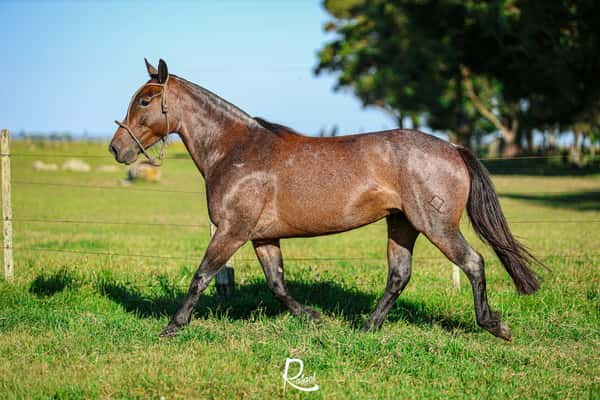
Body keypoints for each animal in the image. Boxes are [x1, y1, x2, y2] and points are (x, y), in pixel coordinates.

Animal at [109, 59, 544, 340]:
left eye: (145, 100)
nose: (117, 149)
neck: (235, 150)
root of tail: (453, 148)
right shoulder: (262, 236)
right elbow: (277, 284)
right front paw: (313, 318)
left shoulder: (231, 231)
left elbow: (200, 277)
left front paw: (171, 327)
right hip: (401, 224)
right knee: (399, 275)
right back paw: (367, 326)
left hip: (435, 225)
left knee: (472, 263)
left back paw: (494, 325)